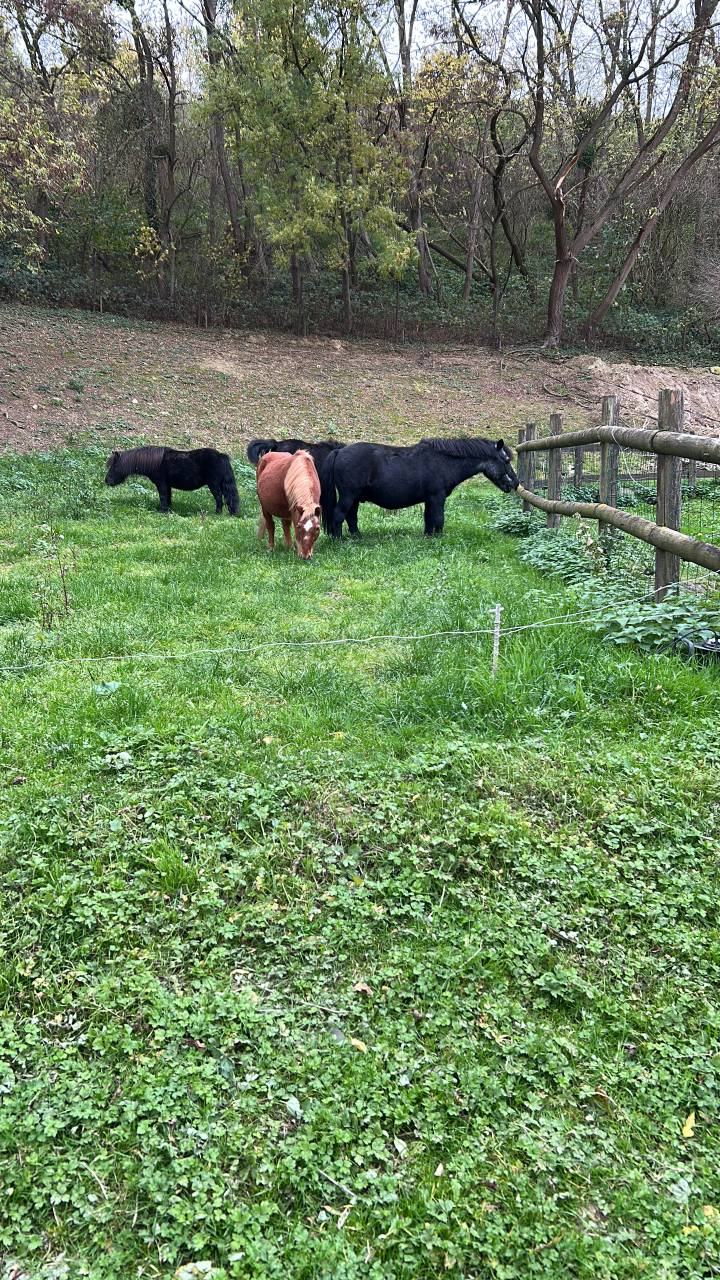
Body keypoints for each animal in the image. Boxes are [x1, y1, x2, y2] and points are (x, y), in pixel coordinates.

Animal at [105, 446, 240, 515]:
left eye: (114, 466)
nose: (107, 481)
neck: (155, 462)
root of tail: (221, 455)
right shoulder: (167, 485)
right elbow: (168, 497)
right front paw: (168, 509)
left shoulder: (161, 484)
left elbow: (163, 497)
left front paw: (162, 511)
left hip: (214, 485)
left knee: (218, 498)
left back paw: (217, 513)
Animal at [320, 436, 518, 538]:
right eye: (506, 460)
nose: (516, 483)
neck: (443, 461)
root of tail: (339, 451)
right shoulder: (437, 497)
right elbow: (439, 519)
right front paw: (439, 538)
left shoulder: (430, 499)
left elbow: (428, 519)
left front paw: (429, 536)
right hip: (348, 495)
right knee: (338, 515)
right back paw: (339, 539)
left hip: (354, 498)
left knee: (351, 517)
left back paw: (357, 537)